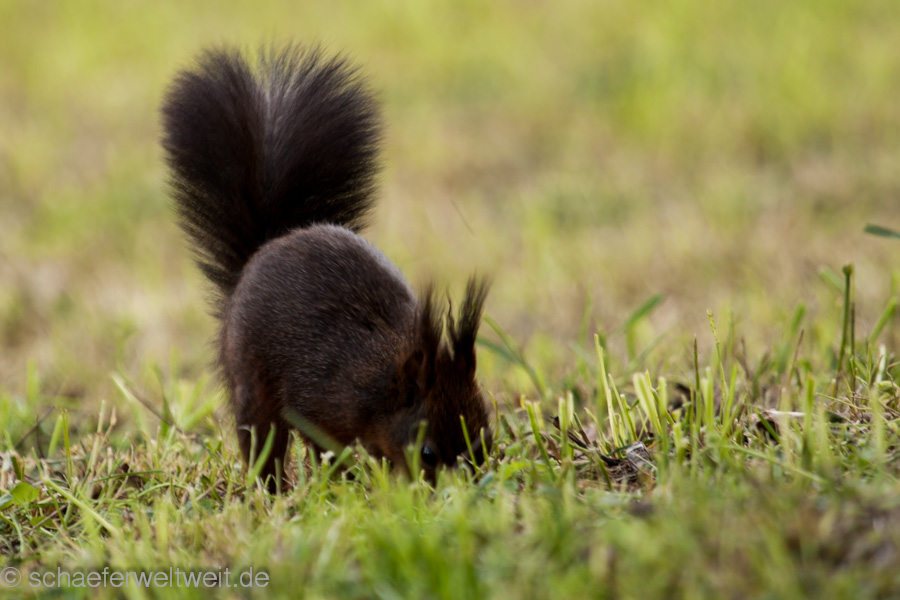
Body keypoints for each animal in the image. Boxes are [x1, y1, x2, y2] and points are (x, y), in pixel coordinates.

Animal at [160, 44, 492, 490]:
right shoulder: (323, 399)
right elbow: (324, 443)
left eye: (486, 438)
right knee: (262, 439)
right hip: (251, 379)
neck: (382, 382)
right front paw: (351, 479)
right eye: (427, 453)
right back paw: (273, 491)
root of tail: (265, 249)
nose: (466, 492)